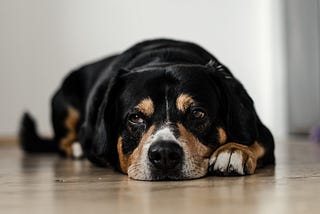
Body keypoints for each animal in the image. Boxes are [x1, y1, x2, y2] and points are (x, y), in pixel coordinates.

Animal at [20, 38, 276, 181]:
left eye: (197, 113)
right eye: (135, 117)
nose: (164, 154)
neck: (165, 58)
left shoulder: (262, 131)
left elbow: (256, 141)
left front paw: (232, 151)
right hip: (65, 104)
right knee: (63, 141)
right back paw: (76, 148)